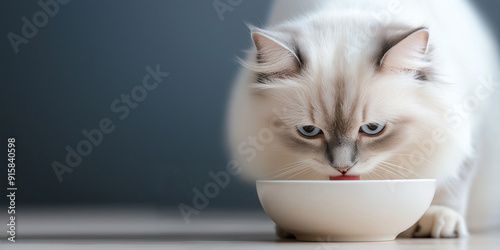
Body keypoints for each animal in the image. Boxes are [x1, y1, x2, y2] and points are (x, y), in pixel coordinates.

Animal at [228, 0, 500, 238]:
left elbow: (452, 184)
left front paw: (438, 219)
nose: (342, 168)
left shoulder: (467, 129)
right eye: (308, 131)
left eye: (372, 128)